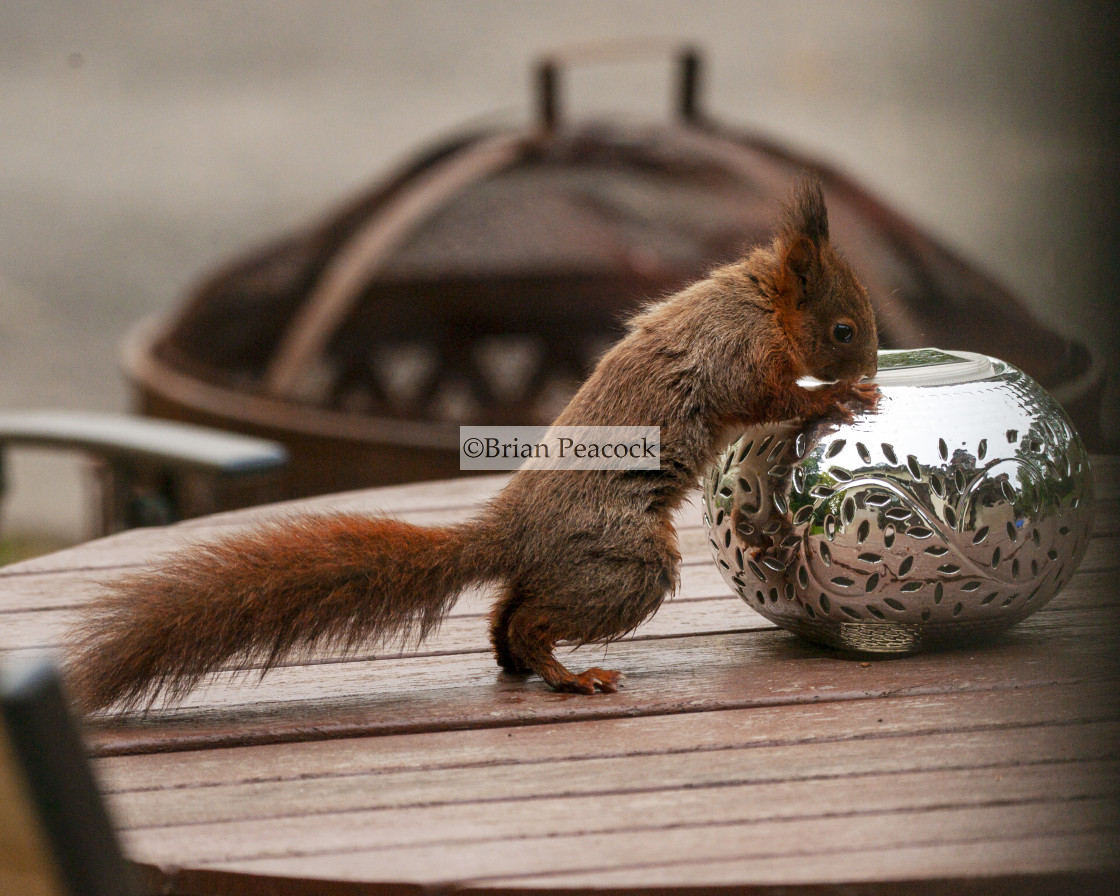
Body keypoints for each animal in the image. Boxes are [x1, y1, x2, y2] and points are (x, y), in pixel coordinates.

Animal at [65, 174, 878, 712]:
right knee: (531, 615)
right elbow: (763, 399)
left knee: (506, 612)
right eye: (843, 330)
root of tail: (514, 529)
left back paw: (519, 664)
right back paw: (569, 674)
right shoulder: (732, 353)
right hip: (622, 561)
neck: (757, 299)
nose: (870, 365)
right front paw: (837, 397)